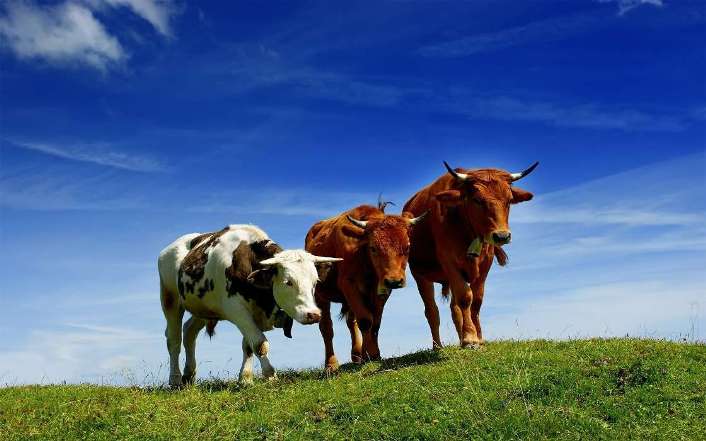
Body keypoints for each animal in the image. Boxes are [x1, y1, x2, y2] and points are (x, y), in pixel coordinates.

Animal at [158, 224, 342, 386]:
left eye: (315, 282)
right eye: (288, 282)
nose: (314, 314)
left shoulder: (252, 314)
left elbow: (248, 346)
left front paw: (245, 378)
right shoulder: (237, 311)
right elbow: (260, 343)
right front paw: (270, 375)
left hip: (203, 308)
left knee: (189, 332)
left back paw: (189, 375)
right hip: (170, 299)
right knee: (174, 339)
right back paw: (175, 378)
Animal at [305, 201, 427, 372]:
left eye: (407, 247)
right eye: (373, 248)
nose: (394, 281)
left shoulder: (381, 291)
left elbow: (375, 323)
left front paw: (371, 354)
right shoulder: (348, 284)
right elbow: (365, 320)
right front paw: (369, 354)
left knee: (351, 323)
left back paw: (357, 355)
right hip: (320, 295)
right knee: (327, 328)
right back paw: (331, 364)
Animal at [403, 162, 538, 349]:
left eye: (509, 200)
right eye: (477, 200)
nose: (502, 236)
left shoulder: (485, 264)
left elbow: (476, 301)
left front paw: (478, 337)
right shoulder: (449, 261)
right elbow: (465, 297)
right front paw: (470, 339)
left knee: (455, 309)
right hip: (420, 275)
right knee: (432, 311)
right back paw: (437, 346)